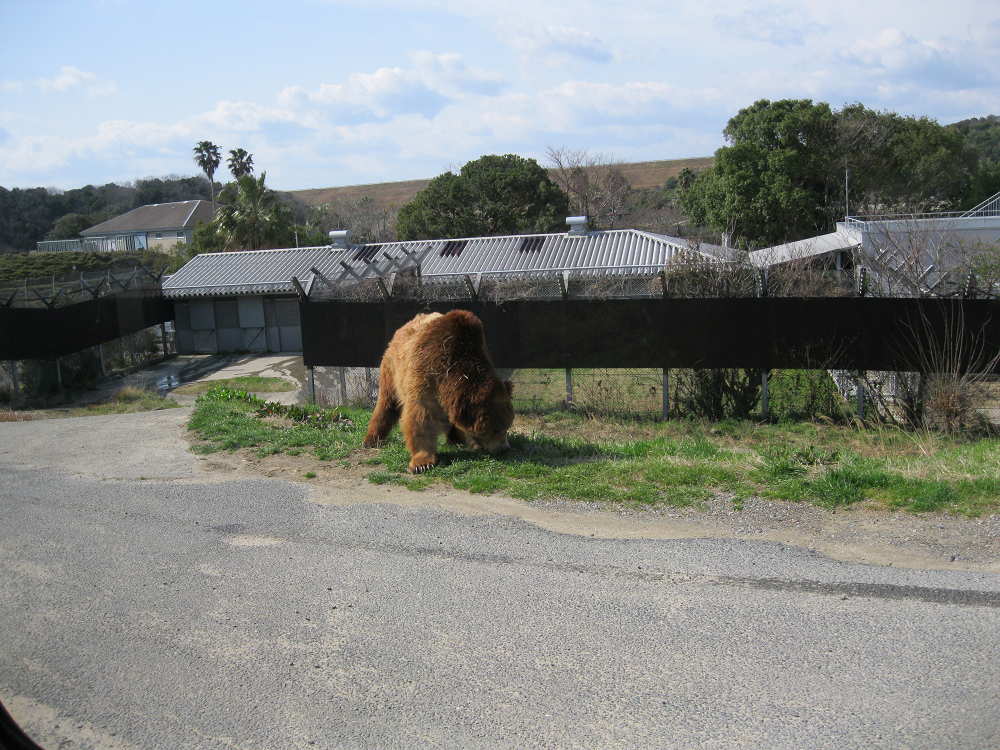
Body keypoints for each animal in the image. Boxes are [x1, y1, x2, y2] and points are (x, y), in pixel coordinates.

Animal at [362, 310, 515, 474]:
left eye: (507, 426)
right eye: (496, 429)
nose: (505, 448)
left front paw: (456, 438)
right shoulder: (425, 373)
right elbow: (421, 418)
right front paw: (422, 462)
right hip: (392, 370)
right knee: (386, 402)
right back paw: (371, 439)